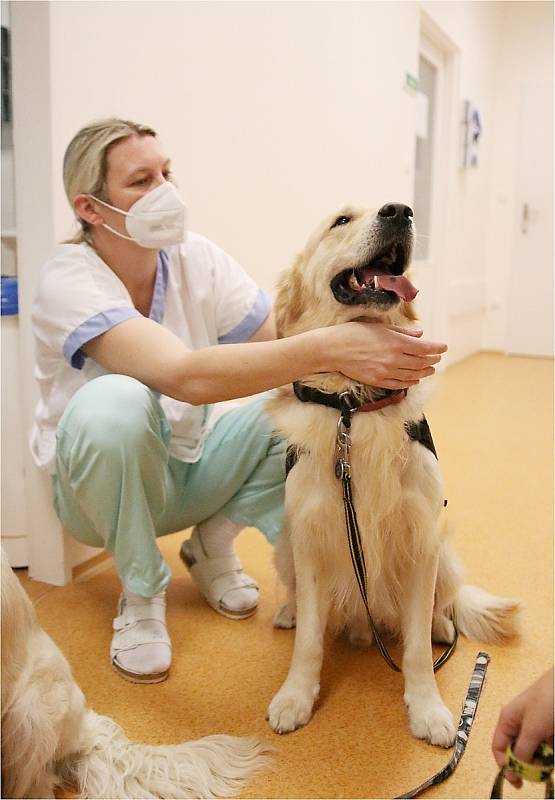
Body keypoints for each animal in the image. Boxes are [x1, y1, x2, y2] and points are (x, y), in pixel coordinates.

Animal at [264, 203, 520, 748]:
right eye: (341, 220)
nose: (400, 211)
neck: (355, 406)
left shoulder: (421, 537)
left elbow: (417, 649)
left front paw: (428, 709)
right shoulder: (312, 534)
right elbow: (310, 641)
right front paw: (296, 697)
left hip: (446, 553)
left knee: (443, 607)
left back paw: (443, 626)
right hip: (285, 546)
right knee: (301, 602)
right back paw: (290, 612)